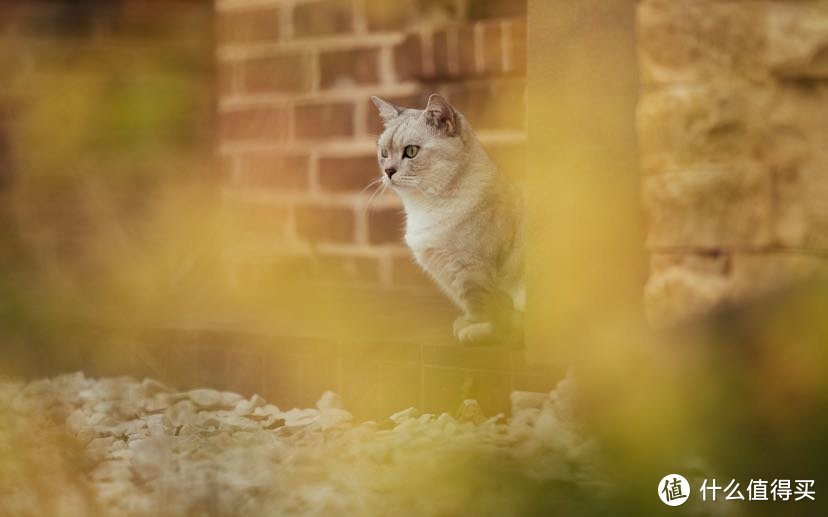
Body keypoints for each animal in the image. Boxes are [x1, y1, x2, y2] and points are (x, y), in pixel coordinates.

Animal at [370, 93, 524, 342]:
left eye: (411, 151)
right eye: (384, 153)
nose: (388, 172)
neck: (423, 207)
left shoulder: (472, 271)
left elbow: (485, 309)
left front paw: (476, 329)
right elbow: (473, 307)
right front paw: (466, 322)